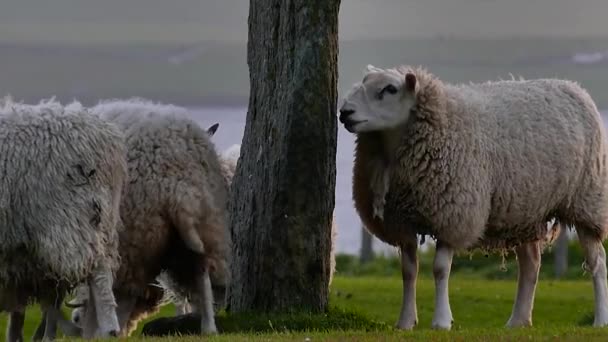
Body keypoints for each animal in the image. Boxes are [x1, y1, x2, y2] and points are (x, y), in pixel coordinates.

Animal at [64, 97, 230, 336]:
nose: (76, 318)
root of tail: (177, 184)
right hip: (203, 227)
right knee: (201, 273)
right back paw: (209, 328)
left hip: (132, 237)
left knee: (121, 293)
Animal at [338, 64, 608, 328]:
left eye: (390, 89)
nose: (344, 112)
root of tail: (574, 87)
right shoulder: (402, 223)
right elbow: (408, 271)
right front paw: (405, 321)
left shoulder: (453, 216)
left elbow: (440, 269)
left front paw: (441, 321)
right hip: (524, 211)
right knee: (531, 264)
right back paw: (518, 321)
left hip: (587, 202)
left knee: (598, 262)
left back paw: (599, 320)